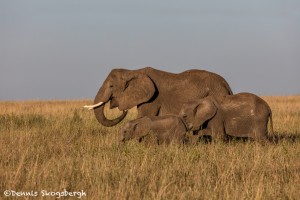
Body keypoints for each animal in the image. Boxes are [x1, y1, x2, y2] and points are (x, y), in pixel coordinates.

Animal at [84, 67, 232, 126]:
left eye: (111, 86)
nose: (124, 111)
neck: (133, 71)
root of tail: (227, 85)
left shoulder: (152, 99)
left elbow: (144, 117)